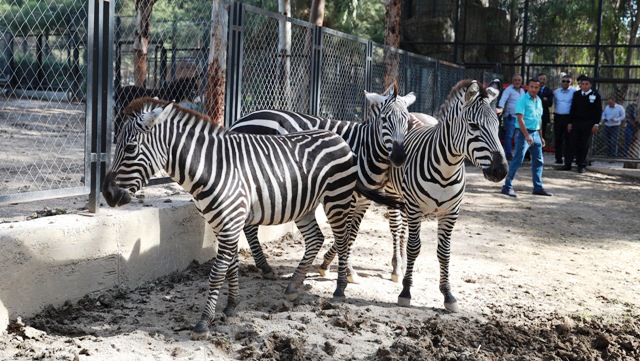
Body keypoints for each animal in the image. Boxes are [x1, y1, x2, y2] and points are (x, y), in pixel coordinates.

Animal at [102, 97, 382, 338]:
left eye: (130, 148)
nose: (107, 193)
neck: (212, 168)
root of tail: (338, 137)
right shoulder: (222, 223)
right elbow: (232, 266)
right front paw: (231, 307)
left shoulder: (230, 222)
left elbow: (217, 272)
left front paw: (204, 321)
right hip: (306, 206)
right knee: (315, 239)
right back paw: (293, 286)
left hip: (337, 199)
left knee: (343, 239)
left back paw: (340, 289)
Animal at [229, 83, 416, 282]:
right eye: (384, 120)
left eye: (407, 121)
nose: (399, 157)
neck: (365, 149)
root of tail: (241, 120)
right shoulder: (346, 196)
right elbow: (346, 233)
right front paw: (345, 269)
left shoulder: (363, 201)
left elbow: (352, 233)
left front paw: (331, 265)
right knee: (248, 225)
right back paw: (264, 267)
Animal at [380, 79, 510, 310]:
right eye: (474, 126)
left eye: (497, 126)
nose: (501, 170)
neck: (447, 170)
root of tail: (415, 113)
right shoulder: (415, 208)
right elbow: (415, 247)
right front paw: (406, 291)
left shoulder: (451, 213)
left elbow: (444, 252)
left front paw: (448, 294)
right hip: (395, 195)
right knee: (396, 229)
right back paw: (397, 268)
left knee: (402, 230)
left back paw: (402, 265)